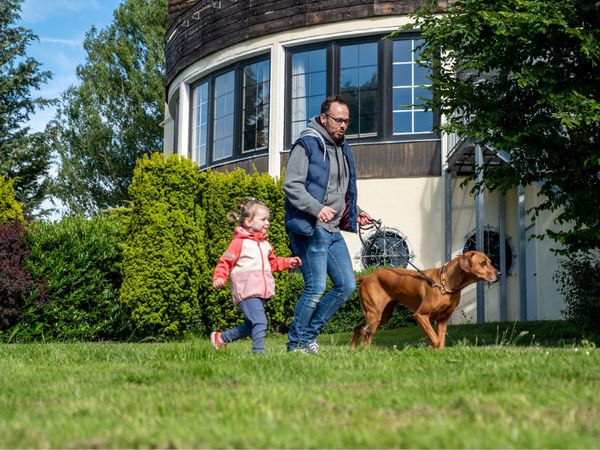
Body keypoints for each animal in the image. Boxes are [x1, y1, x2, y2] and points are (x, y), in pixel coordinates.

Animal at [350, 251, 500, 350]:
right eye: (483, 263)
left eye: (490, 262)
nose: (499, 274)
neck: (445, 284)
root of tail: (366, 276)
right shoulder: (420, 316)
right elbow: (435, 340)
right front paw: (429, 348)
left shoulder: (443, 320)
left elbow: (441, 341)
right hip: (374, 314)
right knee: (367, 336)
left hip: (383, 316)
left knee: (358, 328)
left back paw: (352, 352)